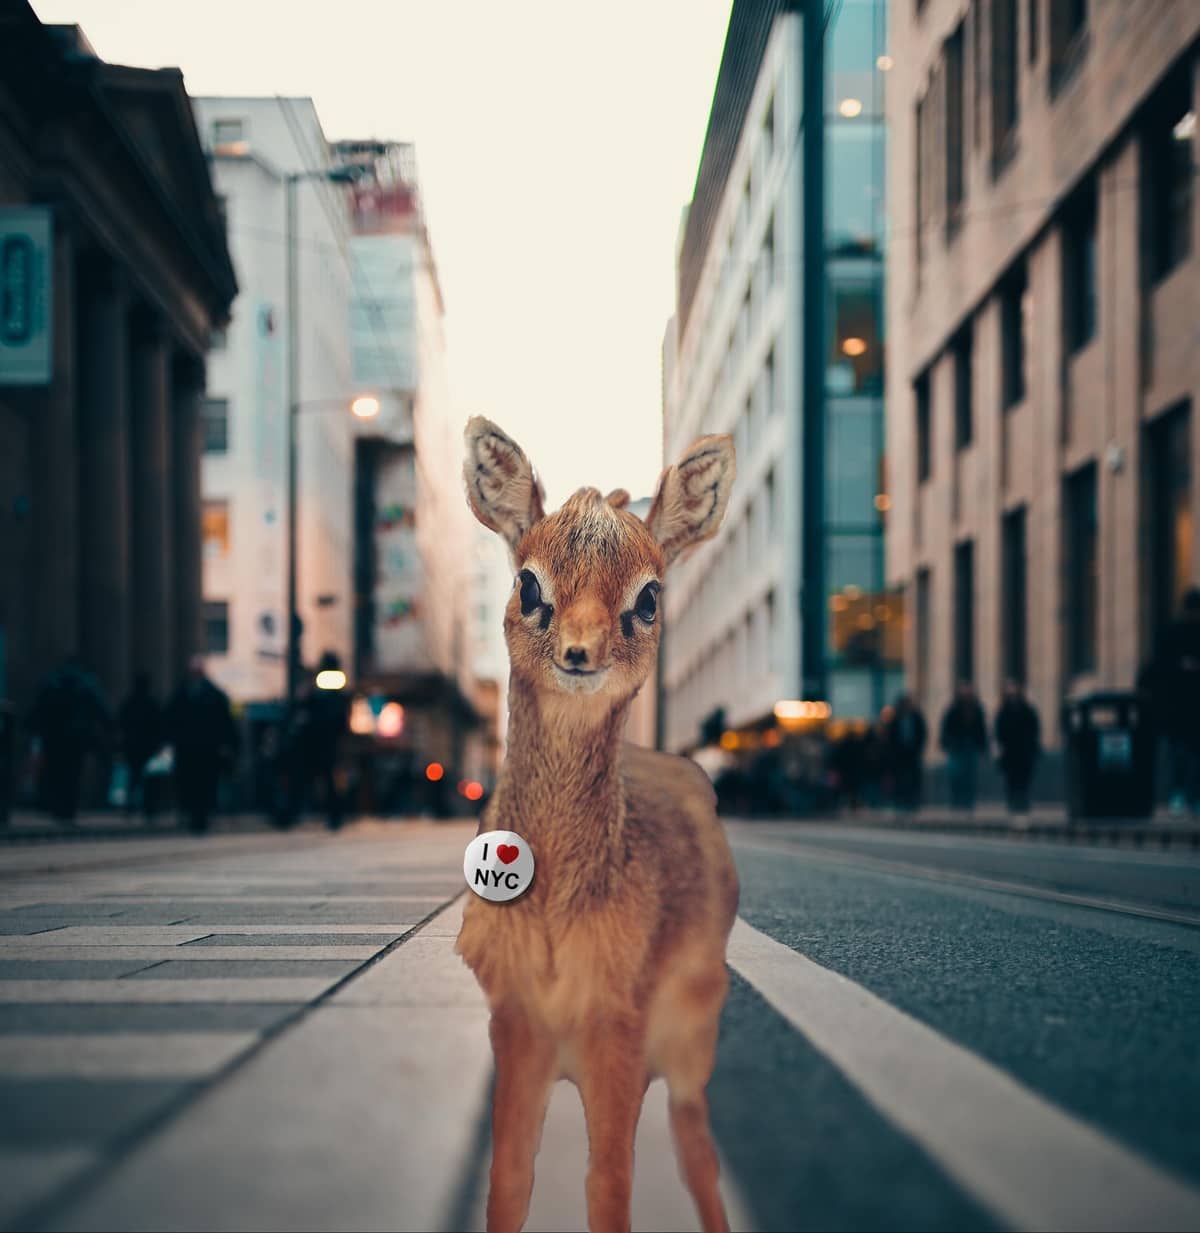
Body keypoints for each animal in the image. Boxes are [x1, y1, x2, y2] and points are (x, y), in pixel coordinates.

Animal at [456, 416, 739, 1233]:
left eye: (649, 596)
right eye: (528, 582)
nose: (580, 651)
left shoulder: (619, 1026)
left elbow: (608, 1184)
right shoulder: (516, 1023)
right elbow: (509, 1179)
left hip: (693, 1029)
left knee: (695, 1139)